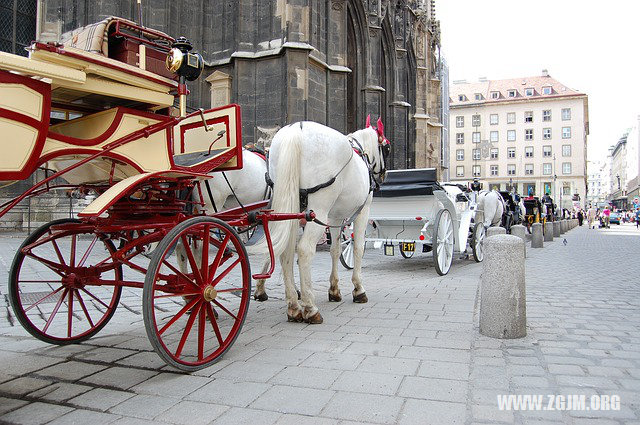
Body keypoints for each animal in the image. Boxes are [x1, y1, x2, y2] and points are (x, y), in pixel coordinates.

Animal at [252, 117, 388, 322]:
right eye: (386, 148)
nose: (383, 175)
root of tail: (296, 131)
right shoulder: (362, 211)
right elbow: (358, 247)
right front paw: (358, 289)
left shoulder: (335, 216)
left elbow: (335, 249)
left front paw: (334, 290)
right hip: (318, 210)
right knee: (304, 250)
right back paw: (310, 307)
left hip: (289, 207)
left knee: (283, 249)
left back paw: (293, 305)